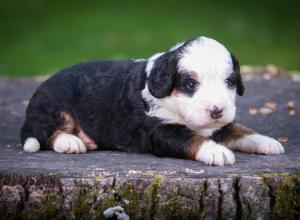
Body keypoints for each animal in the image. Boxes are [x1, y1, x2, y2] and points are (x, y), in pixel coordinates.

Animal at [21, 37, 284, 166]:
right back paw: (70, 141)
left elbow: (238, 129)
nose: (216, 110)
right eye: (190, 84)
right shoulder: (160, 131)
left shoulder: (220, 124)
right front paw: (216, 151)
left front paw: (266, 142)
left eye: (229, 81)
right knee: (48, 133)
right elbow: (191, 139)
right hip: (54, 104)